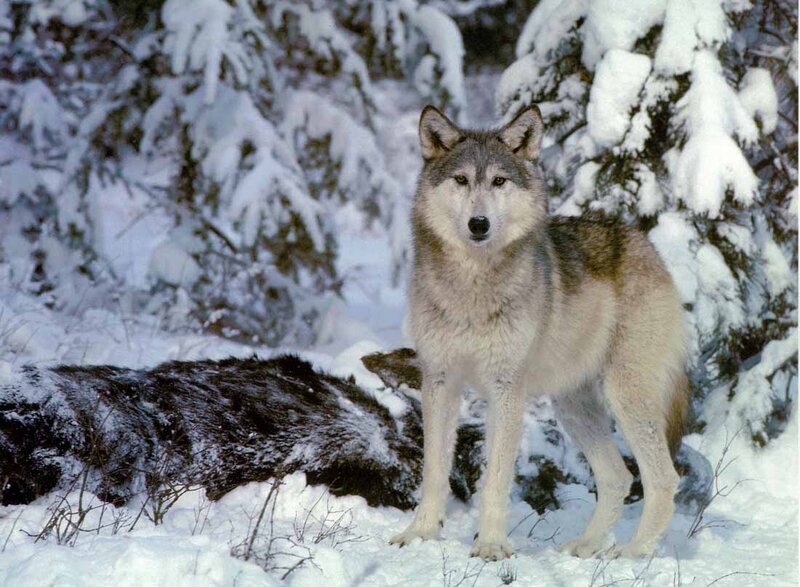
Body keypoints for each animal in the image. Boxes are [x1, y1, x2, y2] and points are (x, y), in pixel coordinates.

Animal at [389, 105, 688, 561]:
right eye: (461, 180)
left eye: (499, 181)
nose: (479, 224)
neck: (472, 287)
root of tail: (646, 244)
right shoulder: (439, 382)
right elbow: (434, 471)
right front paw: (420, 534)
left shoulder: (506, 388)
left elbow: (496, 480)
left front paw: (491, 546)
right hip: (573, 407)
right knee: (618, 477)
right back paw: (585, 546)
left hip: (624, 395)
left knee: (662, 478)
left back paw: (632, 553)